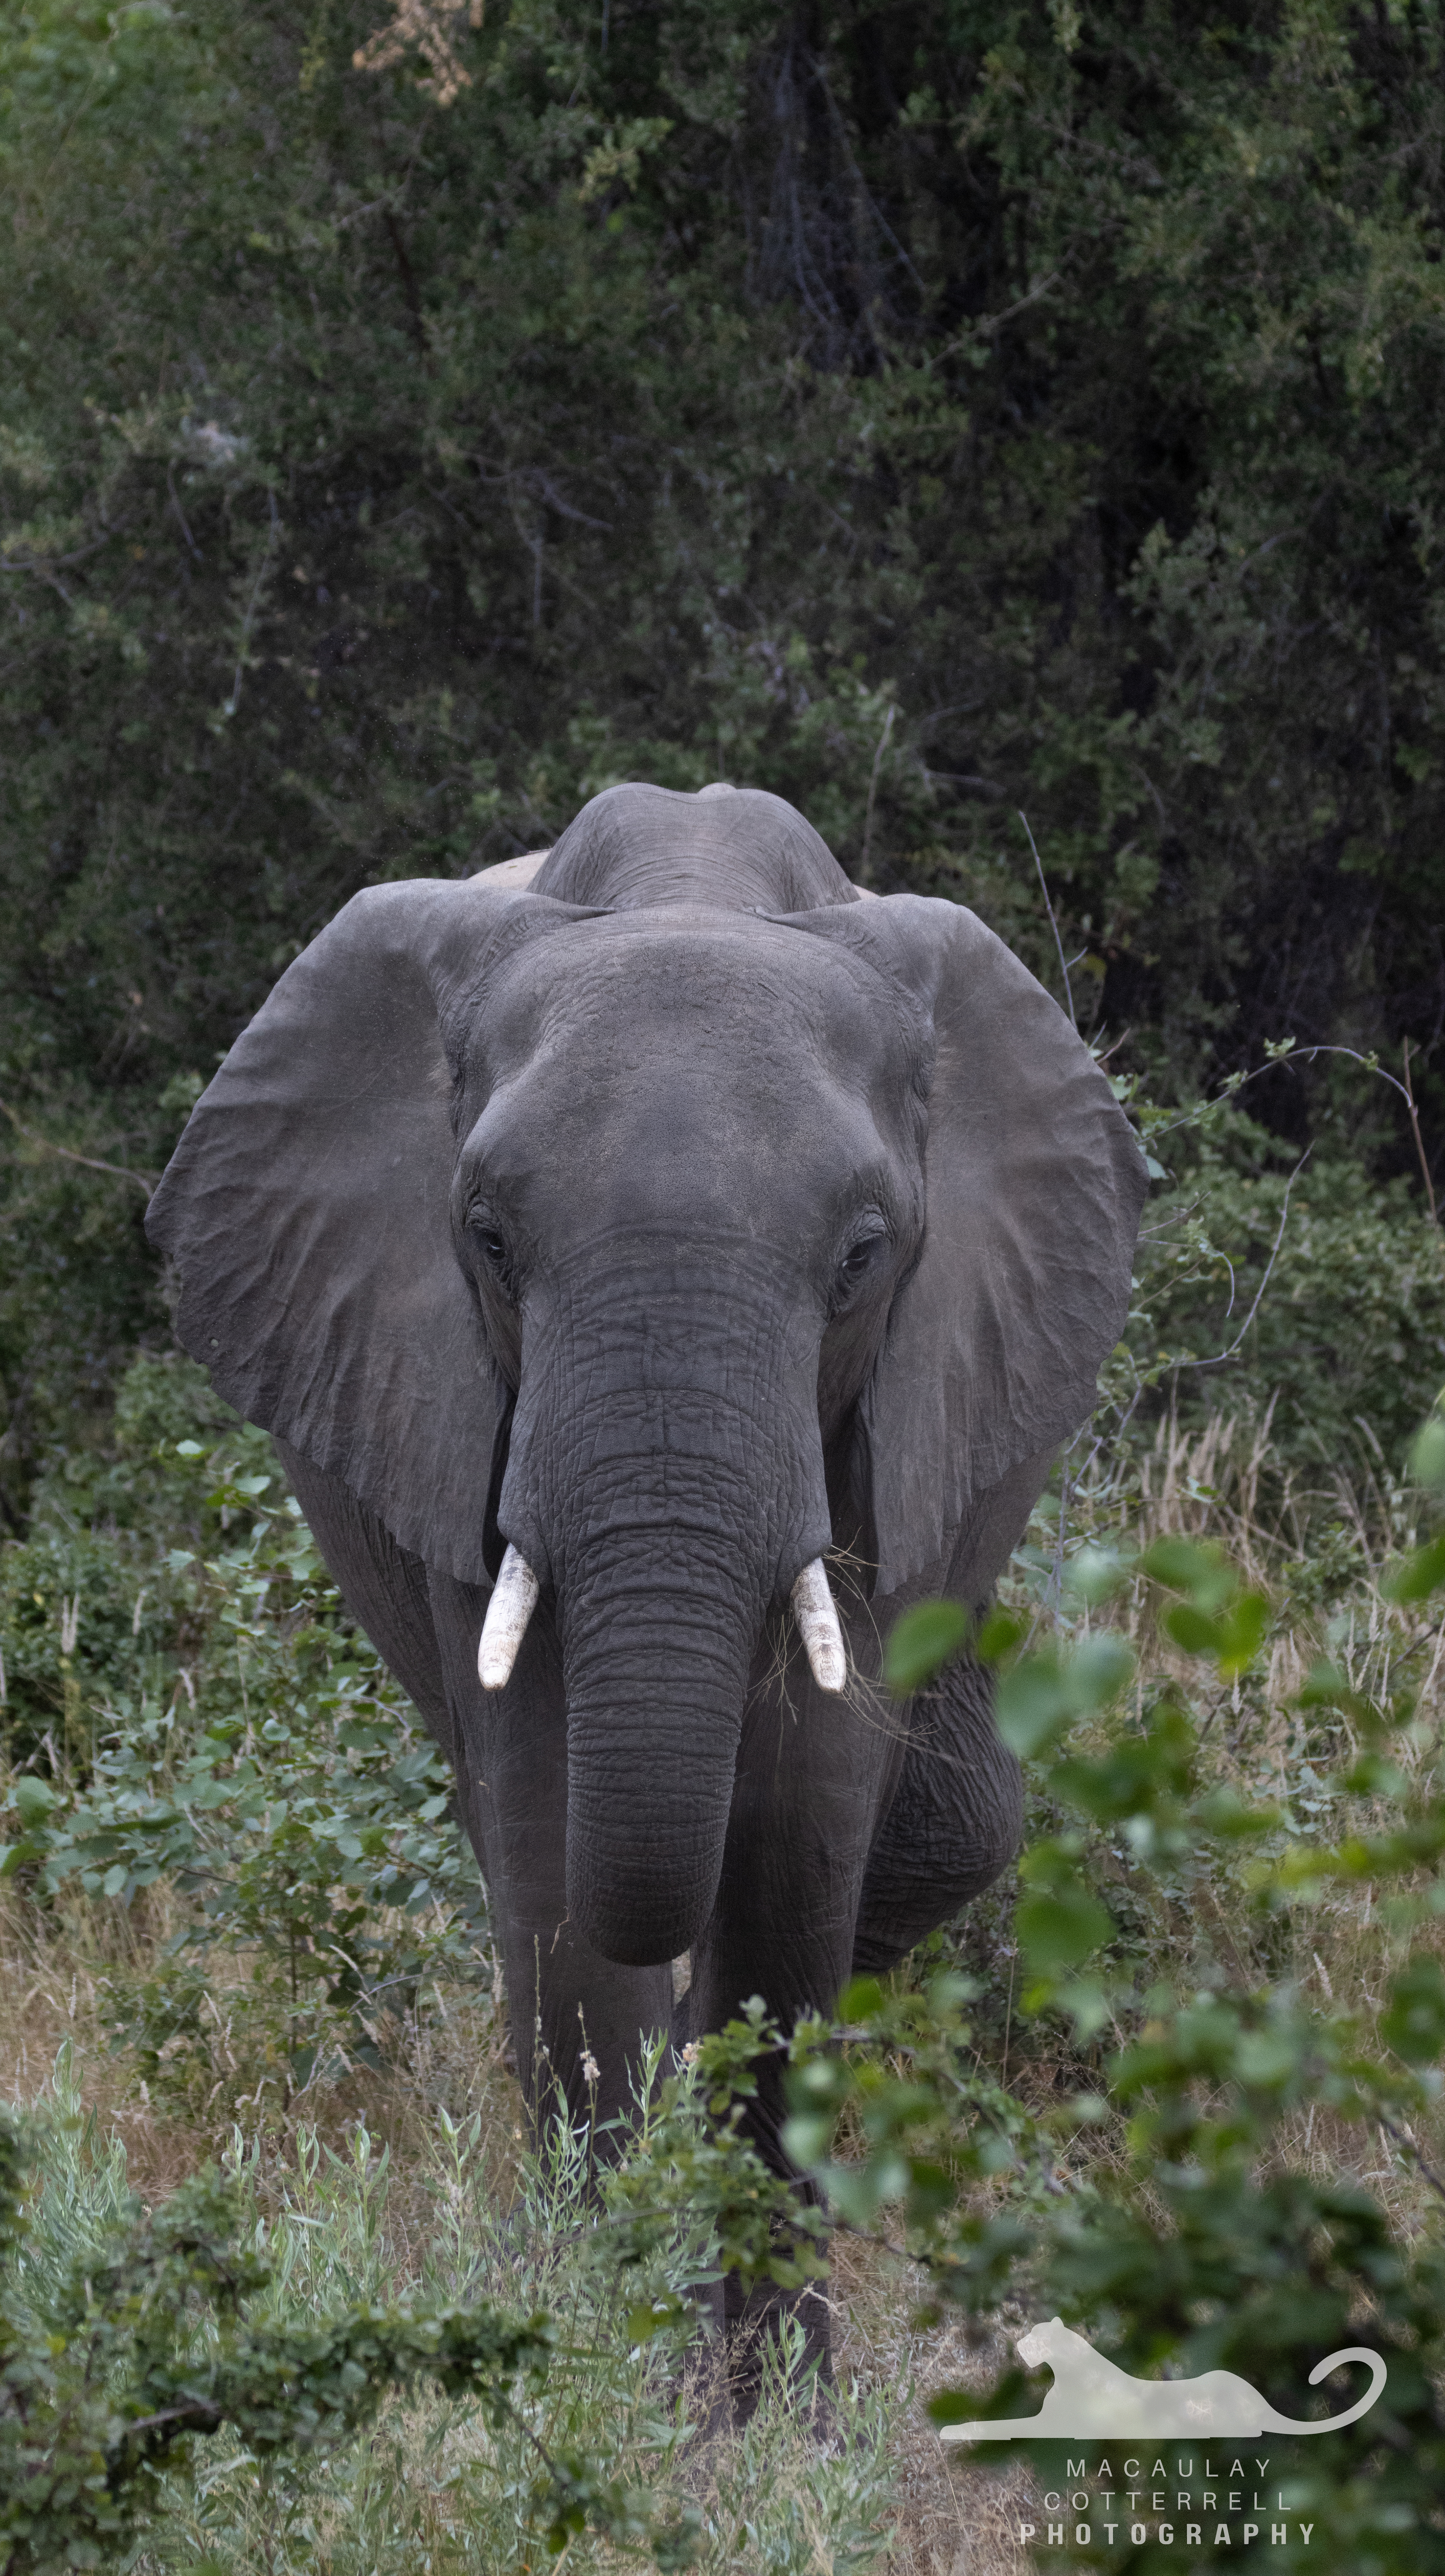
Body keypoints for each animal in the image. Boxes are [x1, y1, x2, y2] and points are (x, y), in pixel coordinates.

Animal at [146, 780, 1145, 2397]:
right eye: (488, 1236)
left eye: (864, 1254)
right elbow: (555, 1842)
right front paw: (602, 2363)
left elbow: (799, 1836)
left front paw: (776, 2417)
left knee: (952, 1825)